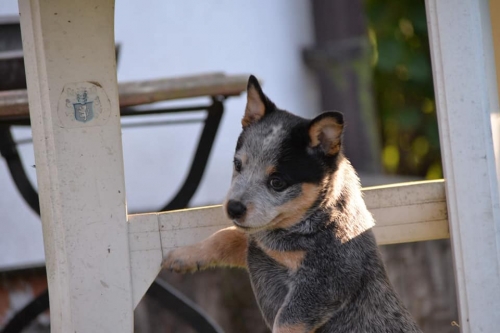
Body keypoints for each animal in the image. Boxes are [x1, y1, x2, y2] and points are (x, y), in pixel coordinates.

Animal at [164, 75, 422, 332]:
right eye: (238, 165)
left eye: (277, 182)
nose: (233, 208)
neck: (313, 221)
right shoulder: (260, 248)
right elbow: (227, 235)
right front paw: (186, 255)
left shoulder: (327, 278)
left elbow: (286, 321)